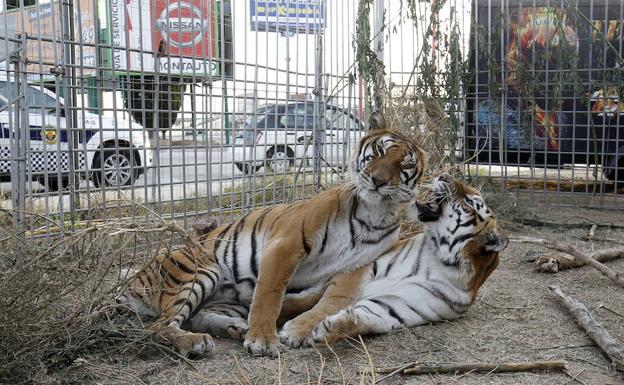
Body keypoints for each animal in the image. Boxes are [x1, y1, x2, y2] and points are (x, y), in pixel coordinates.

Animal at [116, 112, 428, 356]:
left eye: (405, 164)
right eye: (379, 152)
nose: (378, 180)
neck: (373, 213)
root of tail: (133, 279)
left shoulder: (356, 267)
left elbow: (331, 302)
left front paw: (300, 330)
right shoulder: (286, 243)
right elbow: (269, 294)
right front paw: (263, 341)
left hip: (226, 297)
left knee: (196, 315)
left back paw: (234, 327)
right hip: (198, 270)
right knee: (160, 325)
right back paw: (194, 342)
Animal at [276, 174, 508, 344]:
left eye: (469, 202)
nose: (443, 175)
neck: (440, 261)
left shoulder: (395, 308)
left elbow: (366, 319)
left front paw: (334, 326)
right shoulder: (364, 266)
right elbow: (332, 301)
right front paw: (297, 330)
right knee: (310, 296)